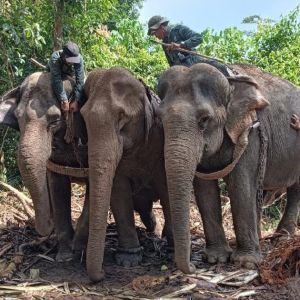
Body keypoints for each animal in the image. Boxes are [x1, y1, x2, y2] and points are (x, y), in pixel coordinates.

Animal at [0, 72, 166, 262]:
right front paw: (65, 256)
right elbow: (58, 188)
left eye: (54, 121)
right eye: (18, 119)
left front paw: (77, 248)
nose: (46, 227)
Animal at [80, 67, 173, 282]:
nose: (103, 273)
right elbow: (118, 191)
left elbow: (166, 187)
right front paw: (128, 260)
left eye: (122, 118)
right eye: (84, 118)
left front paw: (173, 253)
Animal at [156, 63, 300, 274]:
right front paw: (215, 258)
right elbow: (205, 190)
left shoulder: (250, 132)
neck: (230, 83)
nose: (192, 266)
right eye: (159, 119)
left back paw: (281, 239)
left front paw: (246, 263)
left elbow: (239, 185)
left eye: (204, 119)